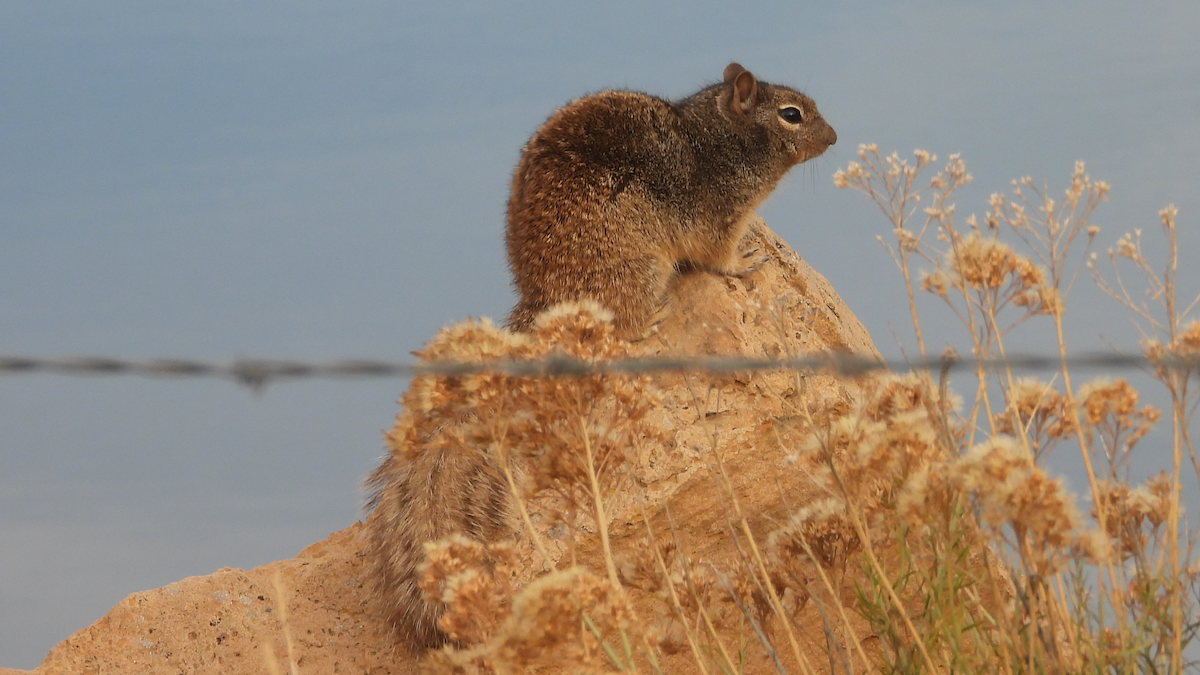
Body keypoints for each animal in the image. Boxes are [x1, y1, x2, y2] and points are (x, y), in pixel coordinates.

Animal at [505, 62, 836, 339]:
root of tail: (537, 299)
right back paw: (651, 318)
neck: (723, 137)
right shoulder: (722, 218)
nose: (834, 137)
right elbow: (718, 256)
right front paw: (745, 260)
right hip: (644, 269)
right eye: (791, 114)